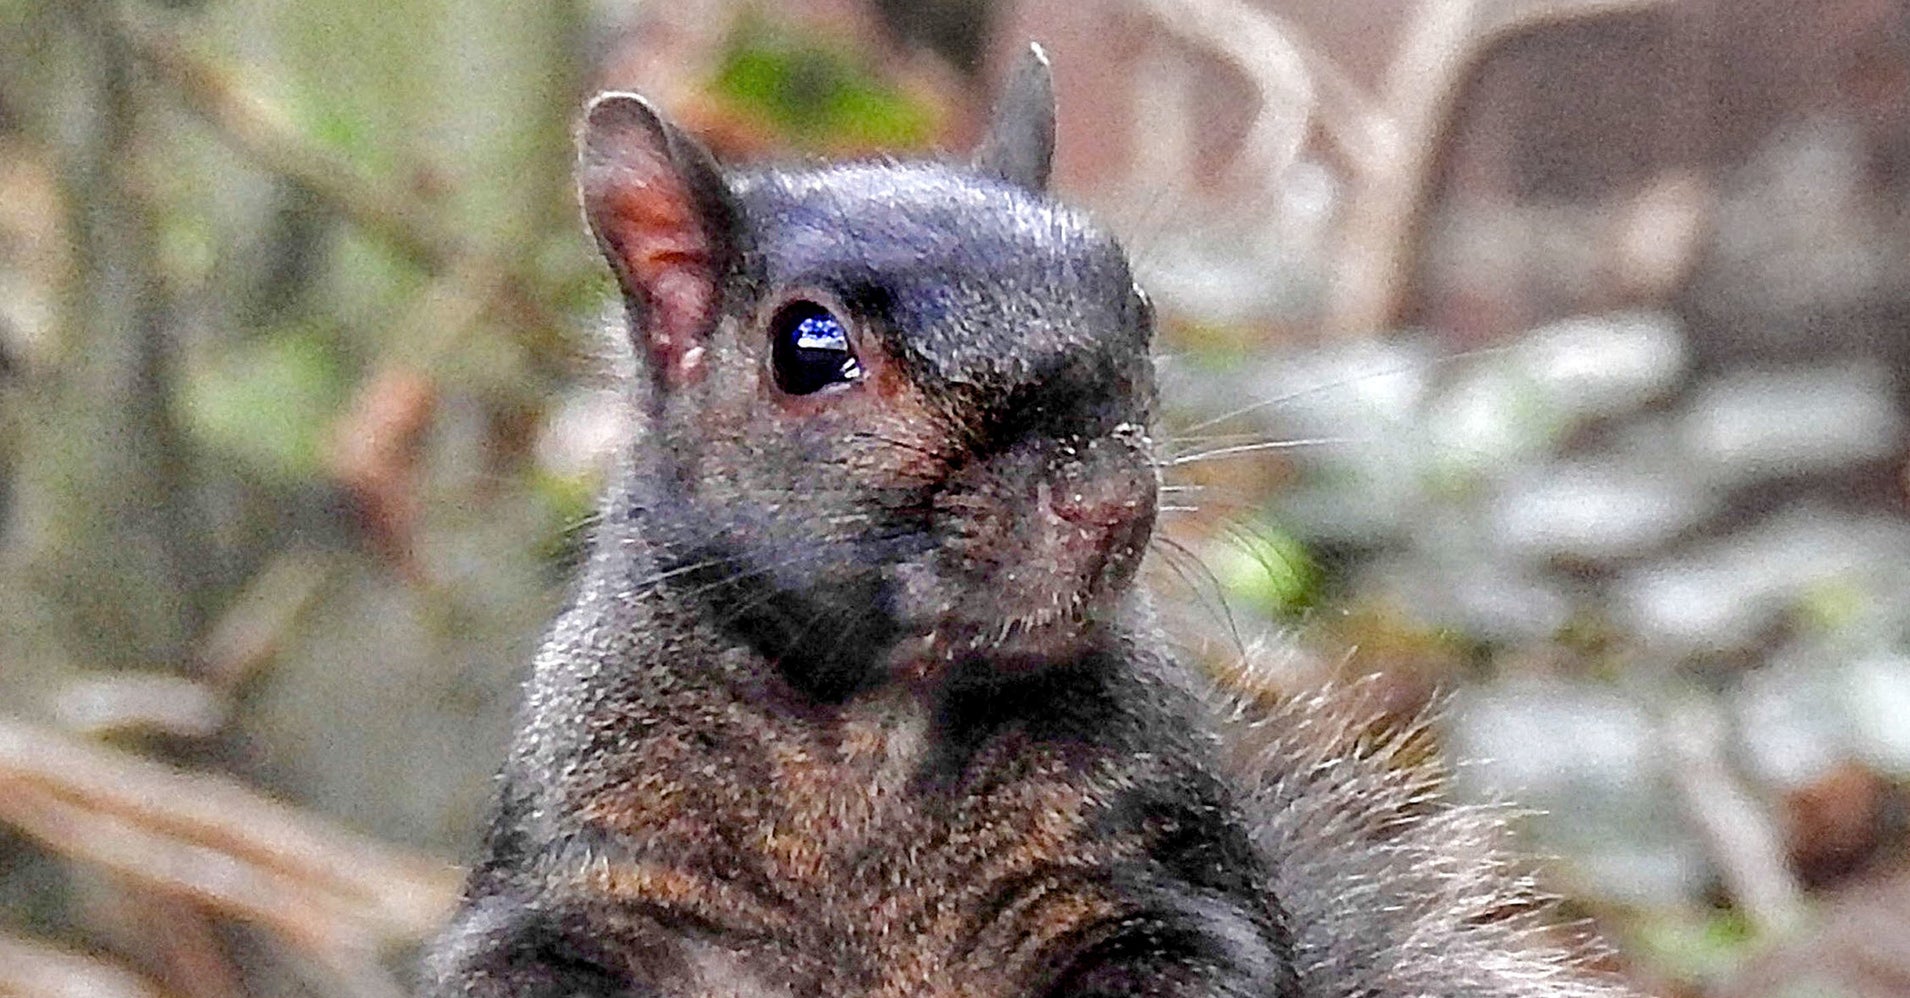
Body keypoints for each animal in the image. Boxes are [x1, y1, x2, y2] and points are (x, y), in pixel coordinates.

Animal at [422, 46, 1632, 998]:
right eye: (807, 348)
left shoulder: (1142, 873)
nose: (1107, 495)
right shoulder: (586, 874)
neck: (872, 729)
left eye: (1138, 306)